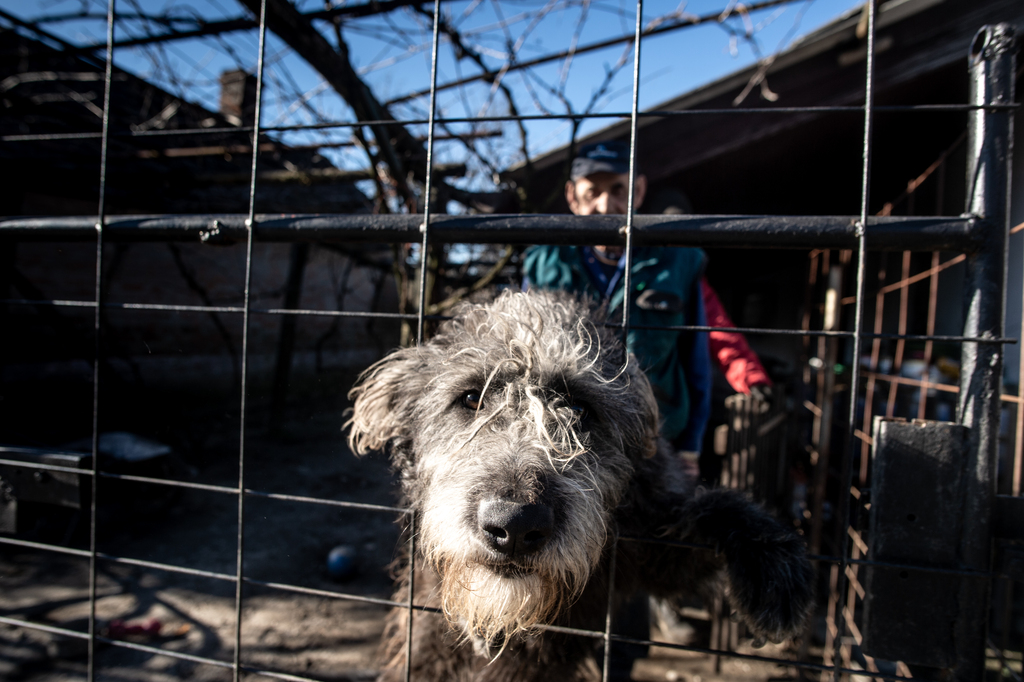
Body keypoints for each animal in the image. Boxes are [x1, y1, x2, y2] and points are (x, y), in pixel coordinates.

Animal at [348, 290, 811, 679]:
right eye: (470, 398)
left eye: (580, 408)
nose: (515, 525)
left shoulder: (646, 540)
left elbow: (705, 514)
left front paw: (770, 560)